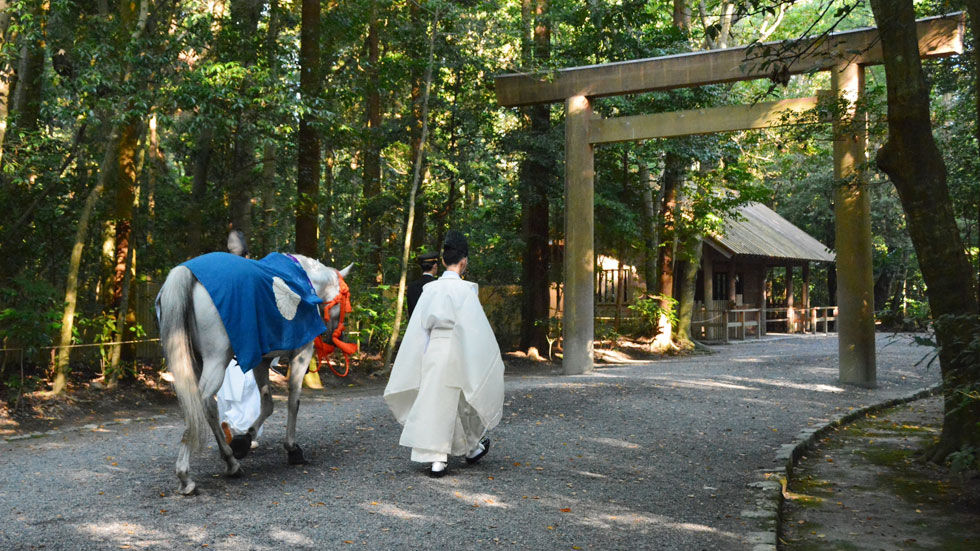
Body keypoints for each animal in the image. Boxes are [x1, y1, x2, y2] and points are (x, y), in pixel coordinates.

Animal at [161, 254, 356, 496]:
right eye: (346, 299)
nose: (338, 337)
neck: (303, 282)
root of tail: (189, 272)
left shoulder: (260, 360)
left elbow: (267, 403)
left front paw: (245, 439)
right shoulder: (301, 353)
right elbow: (293, 401)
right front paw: (292, 449)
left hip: (195, 361)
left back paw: (227, 460)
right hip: (216, 360)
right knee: (204, 405)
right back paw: (194, 473)